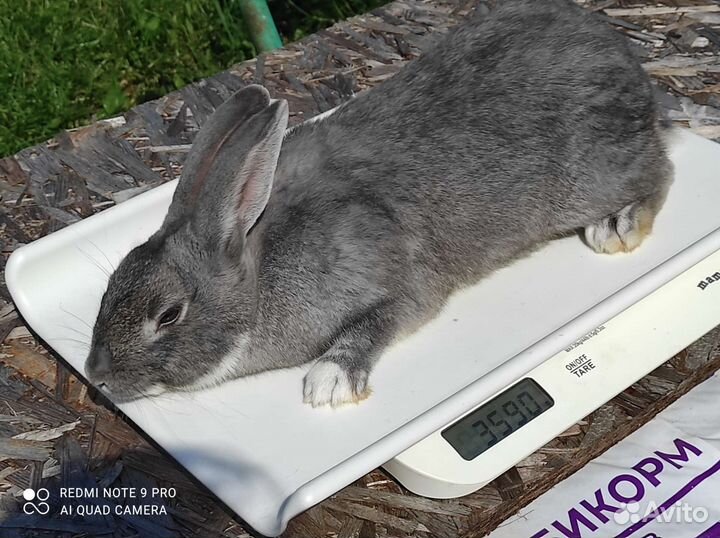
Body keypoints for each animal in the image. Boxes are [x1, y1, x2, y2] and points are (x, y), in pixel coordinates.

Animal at [85, 0, 672, 407]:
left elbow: (374, 325)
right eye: (109, 288)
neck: (257, 265)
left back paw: (616, 227)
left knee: (660, 169)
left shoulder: (396, 284)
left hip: (593, 179)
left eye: (168, 315)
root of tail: (625, 60)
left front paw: (329, 382)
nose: (97, 376)